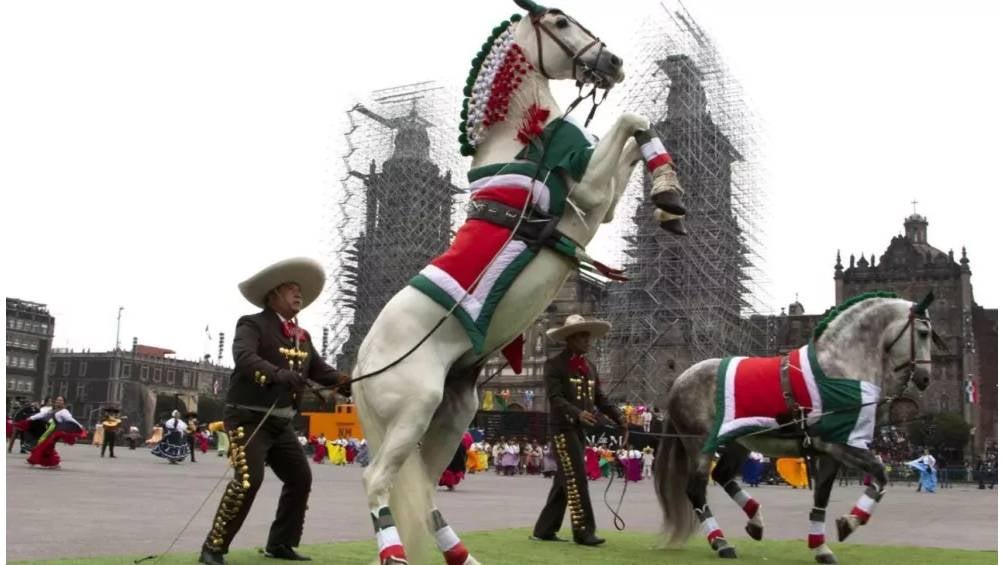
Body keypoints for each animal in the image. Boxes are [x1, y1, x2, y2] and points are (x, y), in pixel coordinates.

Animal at [349, 2, 686, 561]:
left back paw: (463, 555)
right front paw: (669, 195)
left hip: (453, 412)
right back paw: (398, 553)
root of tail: (359, 364)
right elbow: (630, 121)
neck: (522, 140)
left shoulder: (598, 204)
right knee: (377, 481)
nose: (612, 61)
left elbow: (636, 131)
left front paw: (667, 196)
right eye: (561, 20)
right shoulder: (586, 198)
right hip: (414, 409)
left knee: (424, 487)